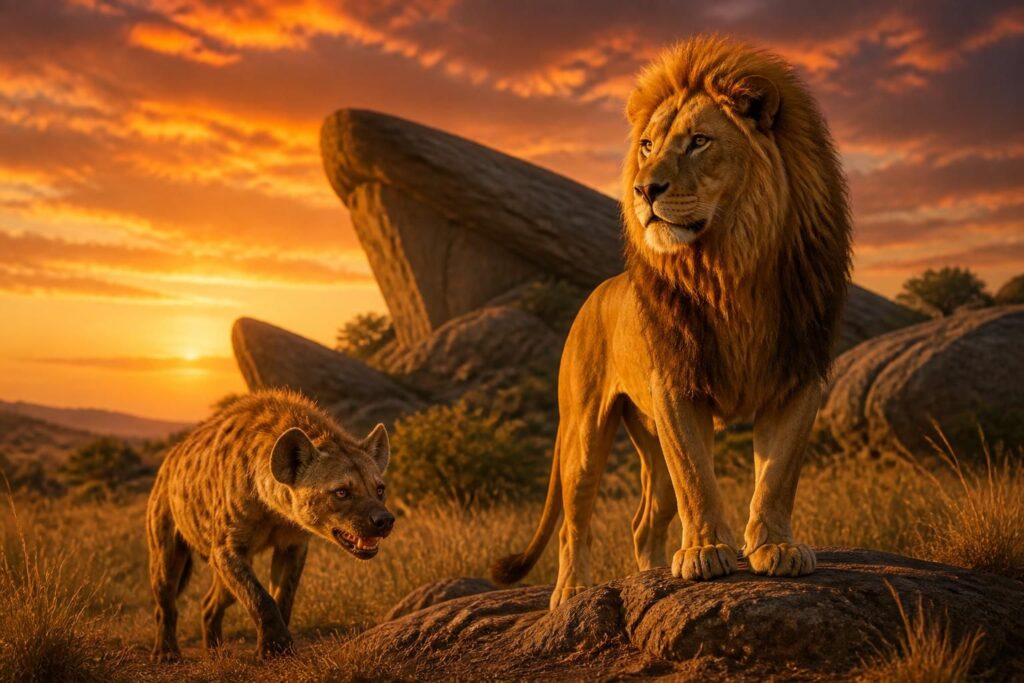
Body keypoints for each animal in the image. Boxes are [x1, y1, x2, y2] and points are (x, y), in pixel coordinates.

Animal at [146, 389, 394, 661]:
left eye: (379, 489)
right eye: (341, 492)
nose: (384, 520)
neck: (272, 509)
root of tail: (168, 461)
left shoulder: (292, 544)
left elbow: (283, 594)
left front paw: (281, 647)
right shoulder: (226, 549)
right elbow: (258, 597)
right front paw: (274, 648)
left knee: (210, 602)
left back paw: (215, 652)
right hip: (166, 544)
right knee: (165, 596)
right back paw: (166, 652)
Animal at [492, 35, 852, 609]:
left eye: (699, 142)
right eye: (646, 145)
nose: (644, 190)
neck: (730, 268)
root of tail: (594, 294)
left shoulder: (798, 375)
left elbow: (778, 474)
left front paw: (775, 547)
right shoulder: (676, 385)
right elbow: (697, 477)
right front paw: (705, 553)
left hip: (648, 440)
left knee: (644, 522)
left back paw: (651, 575)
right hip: (584, 432)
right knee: (575, 522)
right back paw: (572, 593)